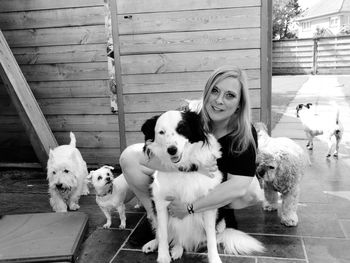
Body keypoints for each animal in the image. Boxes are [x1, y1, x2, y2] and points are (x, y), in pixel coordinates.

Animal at [141, 111, 264, 263]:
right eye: (161, 132)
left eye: (181, 128)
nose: (172, 150)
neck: (185, 169)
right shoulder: (161, 203)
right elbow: (163, 233)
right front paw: (163, 256)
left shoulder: (209, 206)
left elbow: (211, 238)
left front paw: (214, 258)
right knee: (166, 233)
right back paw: (159, 245)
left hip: (221, 221)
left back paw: (177, 249)